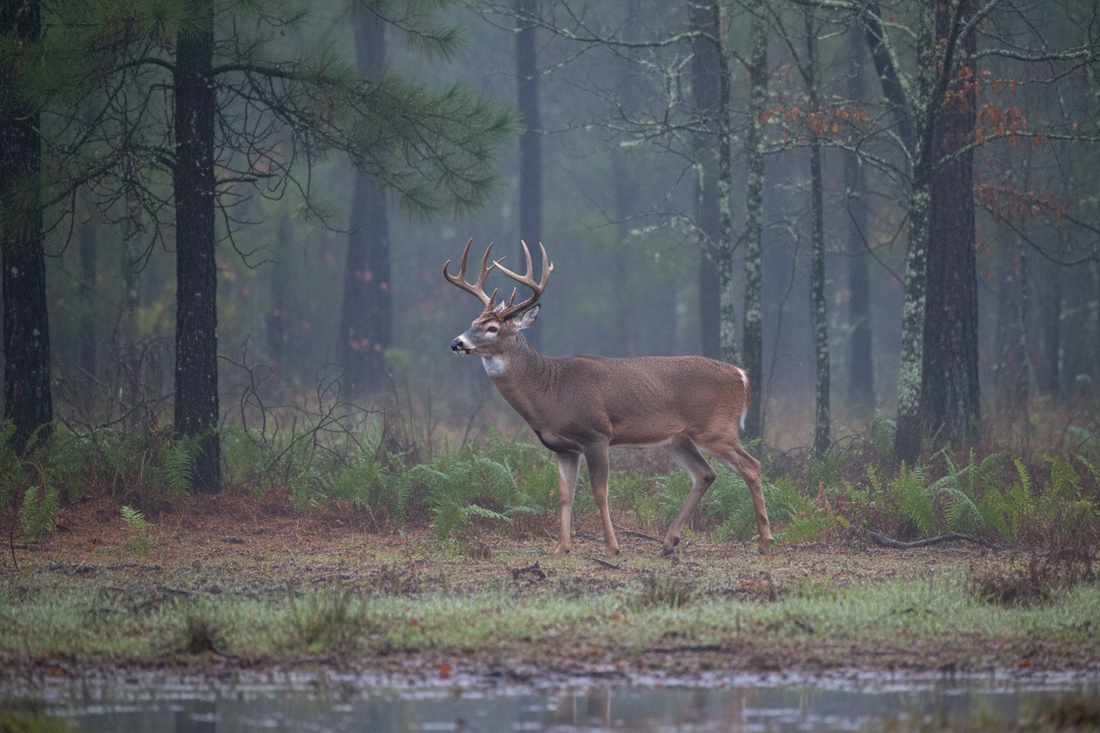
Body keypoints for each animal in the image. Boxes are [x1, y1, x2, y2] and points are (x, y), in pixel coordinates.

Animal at [444, 239, 772, 558]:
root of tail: (741, 375)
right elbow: (565, 495)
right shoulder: (563, 447)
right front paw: (560, 547)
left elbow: (599, 493)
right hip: (677, 439)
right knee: (705, 474)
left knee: (752, 466)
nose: (456, 342)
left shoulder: (596, 434)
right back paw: (668, 542)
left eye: (493, 328)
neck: (550, 393)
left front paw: (612, 547)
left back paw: (765, 542)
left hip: (716, 429)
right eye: (474, 321)